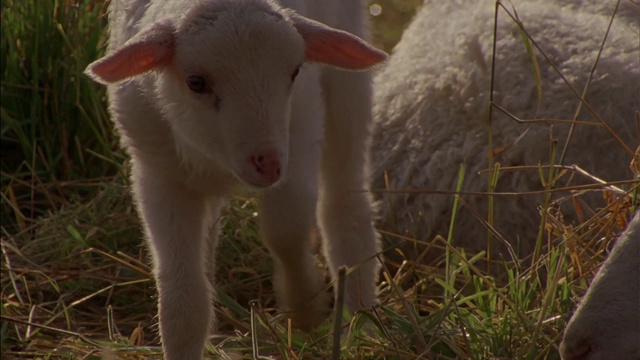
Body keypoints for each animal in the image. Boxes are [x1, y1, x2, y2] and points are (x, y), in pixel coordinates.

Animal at [84, 1, 384, 358]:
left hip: (345, 90)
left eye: (295, 72)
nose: (267, 163)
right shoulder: (158, 174)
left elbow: (286, 233)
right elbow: (182, 294)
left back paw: (362, 320)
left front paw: (304, 308)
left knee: (343, 203)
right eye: (196, 82)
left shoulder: (299, 139)